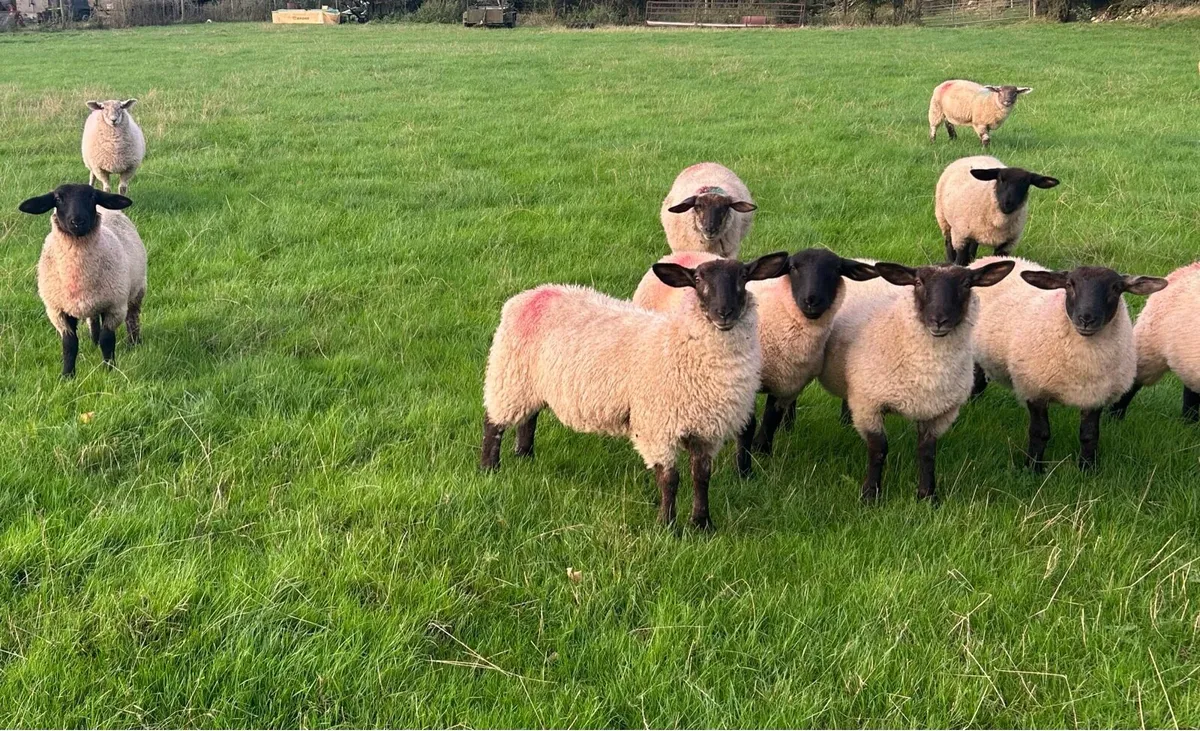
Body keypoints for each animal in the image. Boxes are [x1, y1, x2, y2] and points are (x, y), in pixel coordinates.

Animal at [17, 184, 147, 378]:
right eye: (58, 198)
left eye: (92, 196)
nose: (77, 221)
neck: (78, 276)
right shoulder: (57, 311)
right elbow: (69, 344)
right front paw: (67, 375)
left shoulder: (114, 307)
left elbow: (107, 340)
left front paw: (109, 369)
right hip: (93, 302)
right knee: (93, 321)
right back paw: (94, 342)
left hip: (136, 291)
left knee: (132, 318)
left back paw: (134, 342)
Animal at [481, 252, 789, 530]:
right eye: (698, 279)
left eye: (743, 277)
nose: (724, 313)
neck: (681, 344)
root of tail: (529, 295)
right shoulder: (658, 427)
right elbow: (669, 479)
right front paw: (667, 527)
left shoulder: (707, 431)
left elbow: (702, 477)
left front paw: (703, 524)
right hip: (508, 377)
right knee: (493, 423)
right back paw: (489, 468)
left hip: (530, 383)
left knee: (529, 418)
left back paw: (524, 455)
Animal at [632, 248, 879, 472]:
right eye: (793, 268)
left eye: (837, 270)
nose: (812, 301)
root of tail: (677, 254)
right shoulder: (747, 383)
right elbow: (748, 427)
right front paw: (744, 468)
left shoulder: (785, 383)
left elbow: (771, 418)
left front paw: (763, 450)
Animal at [819, 260, 1015, 503]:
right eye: (919, 282)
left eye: (966, 283)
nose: (939, 320)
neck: (927, 370)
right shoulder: (869, 405)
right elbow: (878, 449)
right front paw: (870, 495)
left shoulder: (939, 412)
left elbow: (927, 452)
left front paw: (928, 496)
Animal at [970, 256, 1167, 471]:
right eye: (1069, 285)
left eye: (1116, 288)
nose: (1086, 319)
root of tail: (992, 258)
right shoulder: (1034, 390)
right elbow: (1040, 433)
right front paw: (1033, 468)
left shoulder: (1096, 395)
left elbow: (1089, 435)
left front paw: (1087, 468)